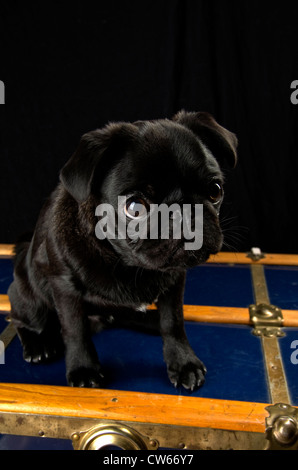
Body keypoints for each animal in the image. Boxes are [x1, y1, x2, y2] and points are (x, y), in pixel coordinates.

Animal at [7, 112, 237, 392]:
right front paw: (83, 368)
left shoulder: (174, 282)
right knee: (21, 319)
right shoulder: (64, 287)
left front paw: (184, 363)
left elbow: (173, 321)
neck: (127, 262)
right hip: (29, 299)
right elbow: (75, 330)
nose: (184, 215)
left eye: (215, 190)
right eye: (135, 207)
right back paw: (37, 344)